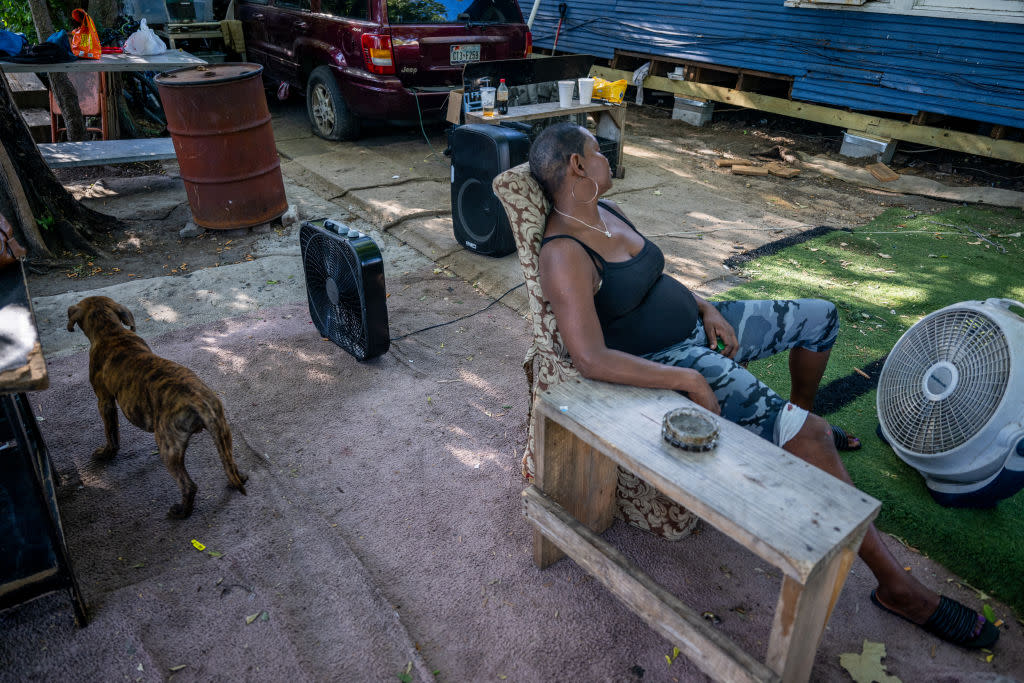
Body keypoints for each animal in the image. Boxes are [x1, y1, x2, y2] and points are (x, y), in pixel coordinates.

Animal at [67, 294, 247, 518]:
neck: (111, 330)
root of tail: (199, 401)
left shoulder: (105, 401)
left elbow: (111, 433)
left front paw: (107, 453)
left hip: (169, 449)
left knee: (189, 485)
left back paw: (181, 511)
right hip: (222, 432)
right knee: (229, 463)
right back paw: (238, 478)